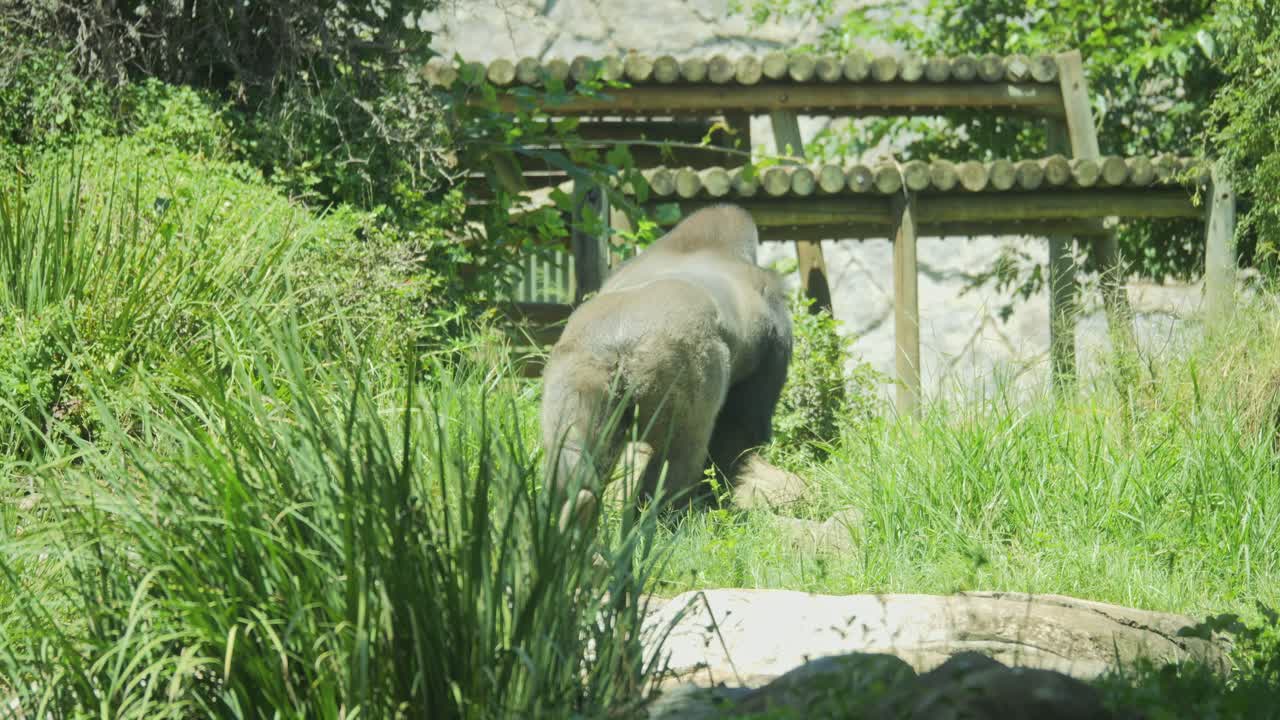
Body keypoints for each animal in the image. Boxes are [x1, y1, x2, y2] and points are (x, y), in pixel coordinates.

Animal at [539, 204, 793, 527]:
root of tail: (619, 341)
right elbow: (740, 427)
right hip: (681, 361)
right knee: (677, 455)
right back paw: (665, 518)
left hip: (577, 364)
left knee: (570, 444)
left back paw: (571, 513)